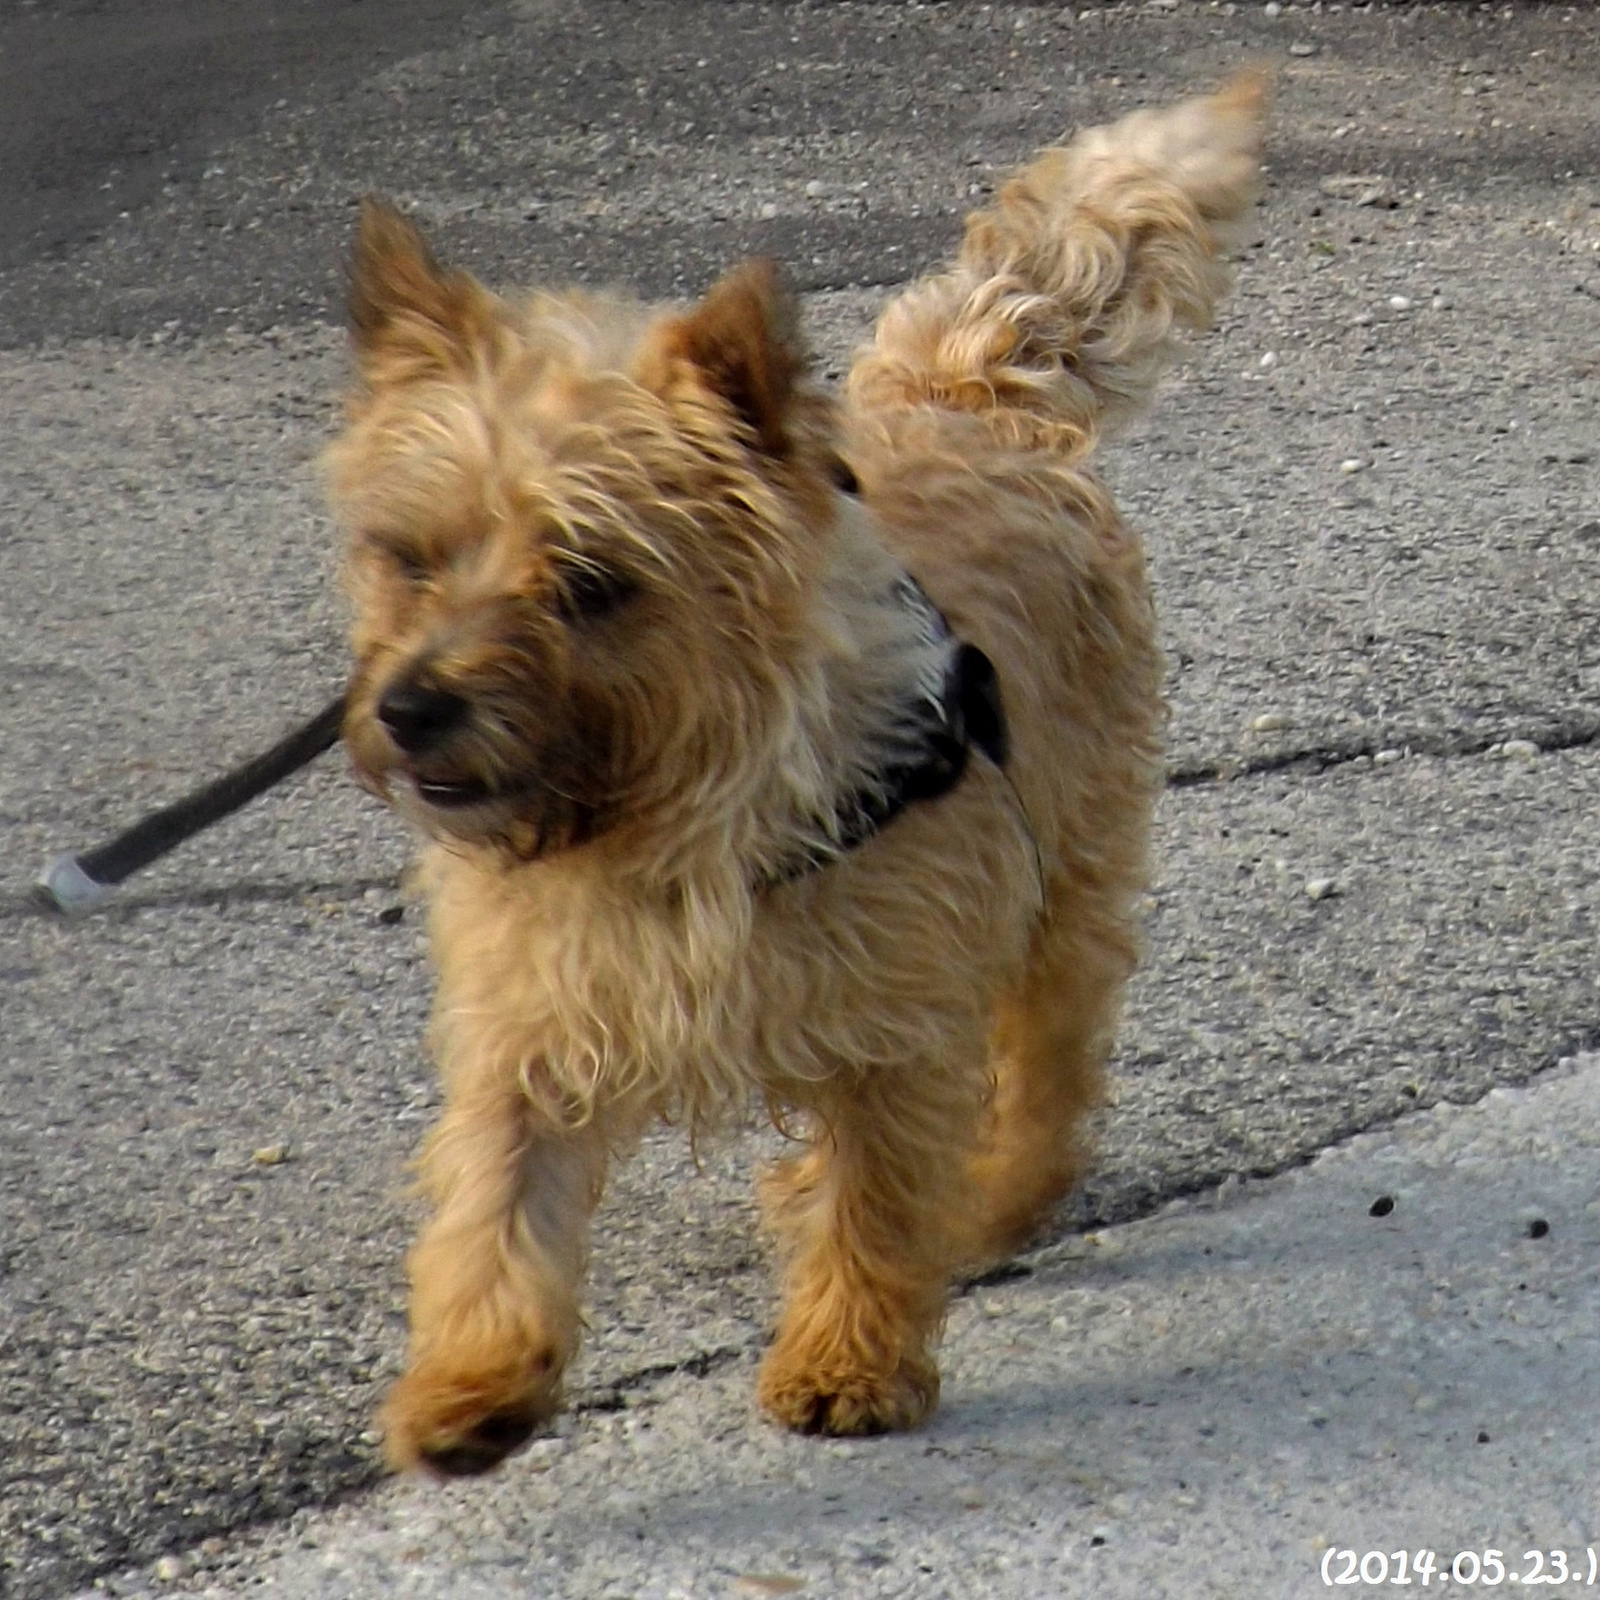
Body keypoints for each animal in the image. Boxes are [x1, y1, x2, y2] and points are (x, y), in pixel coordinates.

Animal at [324, 75, 1260, 1472]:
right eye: (411, 557)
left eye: (593, 581)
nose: (411, 705)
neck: (665, 821)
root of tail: (963, 394)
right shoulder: (522, 1033)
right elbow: (495, 1205)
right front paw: (472, 1382)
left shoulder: (897, 1030)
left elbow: (878, 1200)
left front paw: (846, 1359)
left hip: (1069, 876)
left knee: (1046, 1068)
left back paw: (994, 1199)